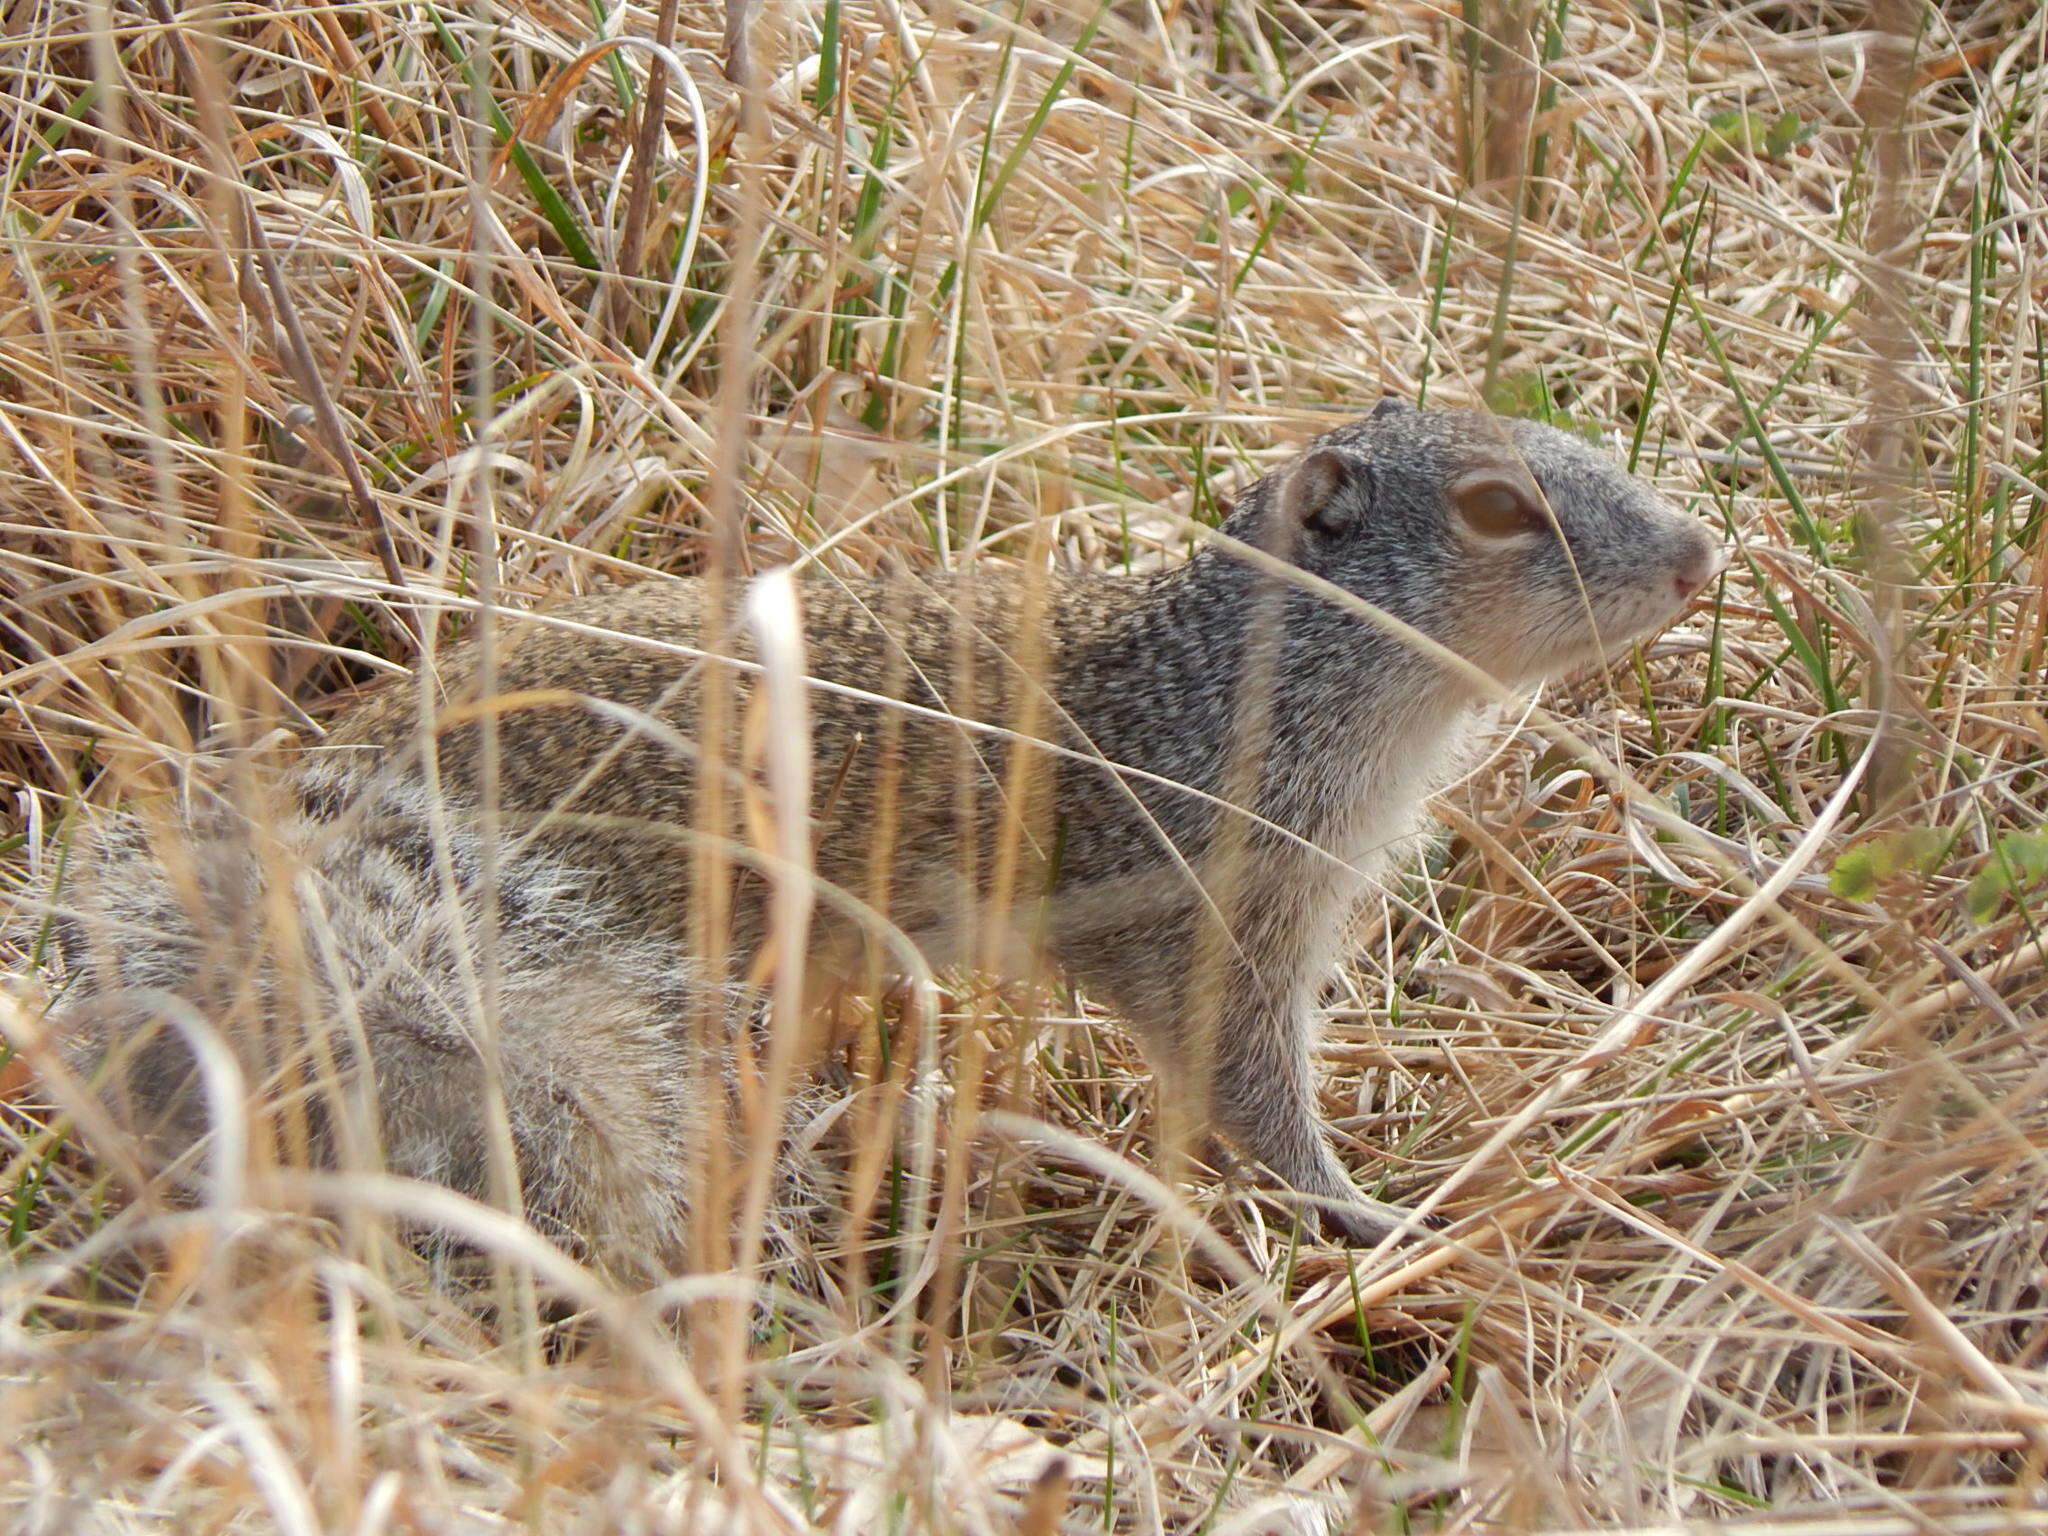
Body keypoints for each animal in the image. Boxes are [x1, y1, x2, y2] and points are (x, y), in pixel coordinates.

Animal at [32, 403, 1728, 1269]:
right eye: (1498, 510)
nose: (1705, 555)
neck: (1242, 685)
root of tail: (335, 792)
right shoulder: (1205, 913)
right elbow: (1246, 1088)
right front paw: (1370, 1207)